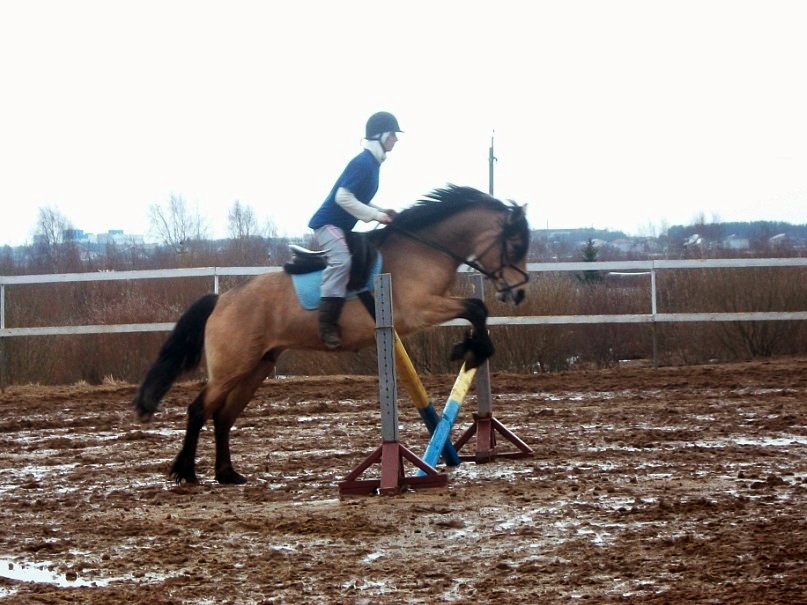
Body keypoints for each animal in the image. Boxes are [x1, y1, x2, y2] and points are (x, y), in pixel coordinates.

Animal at [133, 185, 530, 484]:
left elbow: (477, 309)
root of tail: (222, 298)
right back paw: (187, 473)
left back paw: (228, 474)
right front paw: (471, 350)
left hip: (257, 366)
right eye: (515, 245)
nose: (520, 293)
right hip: (232, 367)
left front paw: (471, 348)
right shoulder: (419, 309)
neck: (424, 249)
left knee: (223, 416)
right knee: (200, 409)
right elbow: (476, 309)